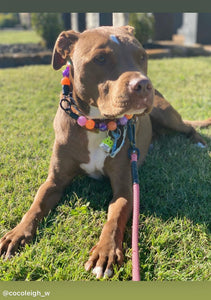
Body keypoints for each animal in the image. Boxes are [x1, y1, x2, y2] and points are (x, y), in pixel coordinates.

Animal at [0, 25, 210, 278]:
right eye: (100, 59)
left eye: (142, 56)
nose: (144, 85)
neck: (96, 123)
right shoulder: (54, 180)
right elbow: (36, 205)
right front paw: (17, 234)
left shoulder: (125, 187)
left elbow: (115, 217)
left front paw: (105, 252)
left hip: (164, 114)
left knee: (188, 126)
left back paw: (198, 142)